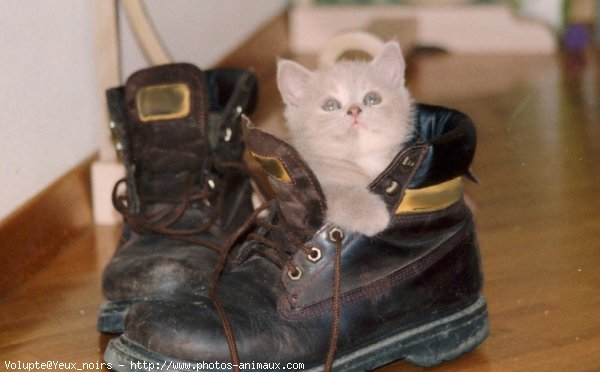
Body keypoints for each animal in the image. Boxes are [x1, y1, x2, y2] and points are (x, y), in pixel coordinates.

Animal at [276, 41, 412, 235]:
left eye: (372, 98)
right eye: (330, 105)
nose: (354, 110)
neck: (362, 160)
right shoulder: (317, 186)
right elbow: (337, 193)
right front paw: (371, 214)